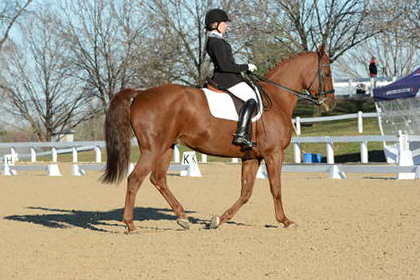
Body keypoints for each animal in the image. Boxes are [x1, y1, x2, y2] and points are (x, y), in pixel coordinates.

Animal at [101, 48, 334, 232]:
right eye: (326, 72)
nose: (330, 102)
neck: (276, 99)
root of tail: (141, 94)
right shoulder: (273, 154)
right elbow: (275, 188)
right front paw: (285, 221)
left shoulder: (251, 157)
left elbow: (246, 192)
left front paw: (218, 220)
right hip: (152, 149)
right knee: (135, 179)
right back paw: (130, 224)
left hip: (166, 147)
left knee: (158, 179)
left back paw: (182, 218)